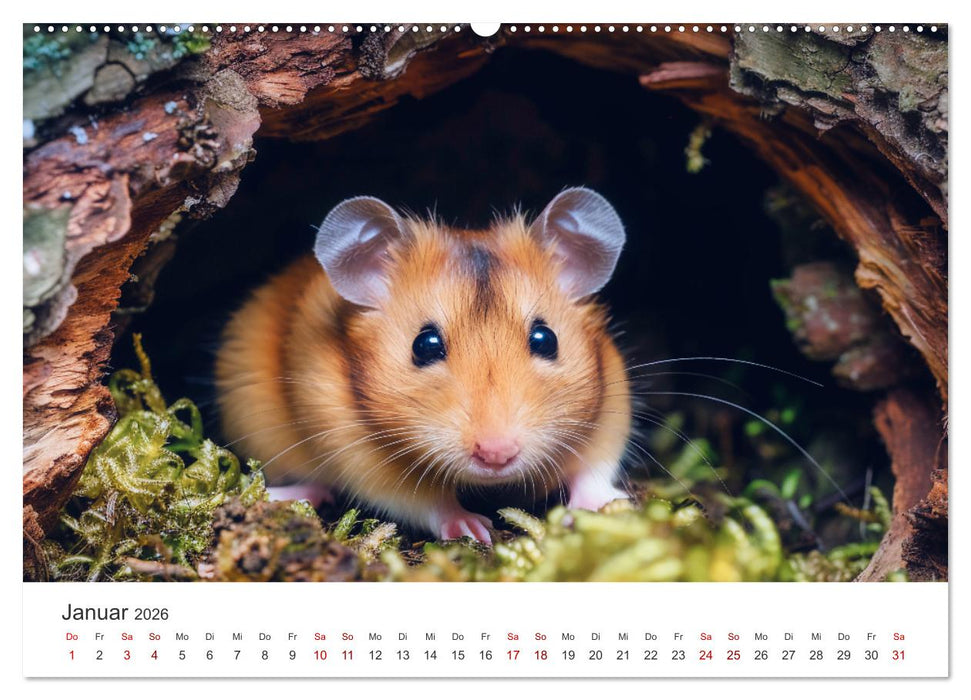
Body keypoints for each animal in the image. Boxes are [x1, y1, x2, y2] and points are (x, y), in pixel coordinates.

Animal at [215, 187, 632, 544]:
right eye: (425, 345)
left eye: (546, 339)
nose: (496, 455)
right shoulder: (360, 456)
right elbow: (426, 500)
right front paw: (472, 528)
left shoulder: (612, 406)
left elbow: (595, 469)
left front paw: (608, 508)